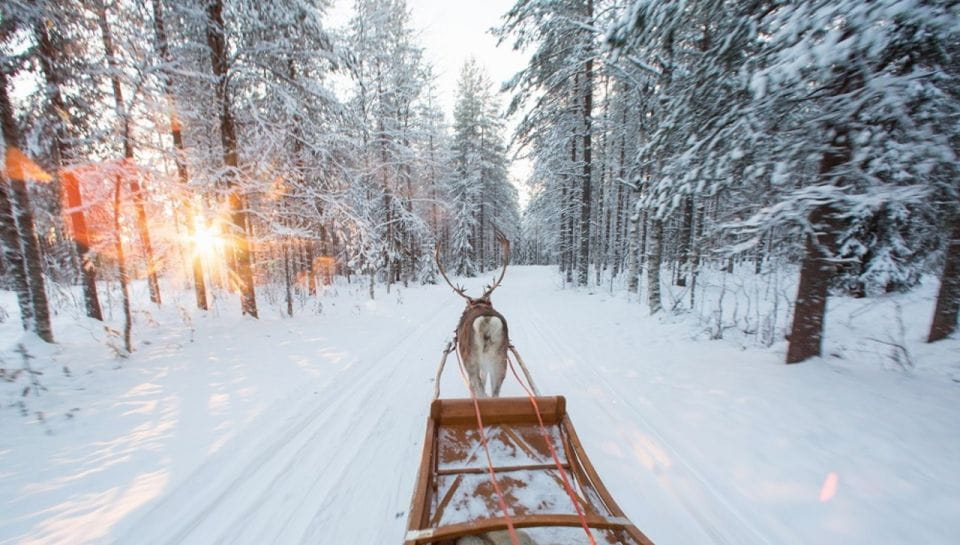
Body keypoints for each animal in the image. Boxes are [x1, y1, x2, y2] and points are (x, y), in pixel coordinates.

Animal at [437, 235, 511, 398]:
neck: (479, 304)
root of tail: (487, 322)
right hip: (500, 362)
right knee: (494, 394)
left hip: (471, 363)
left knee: (479, 391)